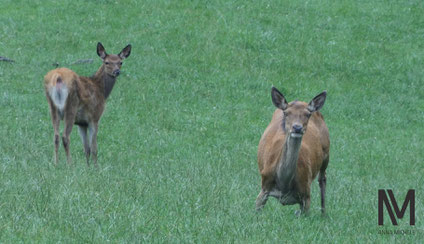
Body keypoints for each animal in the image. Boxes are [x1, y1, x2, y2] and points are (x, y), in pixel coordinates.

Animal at [256, 86, 330, 215]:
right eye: (286, 113)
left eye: (308, 114)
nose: (297, 127)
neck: (284, 185)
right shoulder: (264, 186)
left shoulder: (306, 194)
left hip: (327, 152)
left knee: (322, 178)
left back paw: (323, 214)